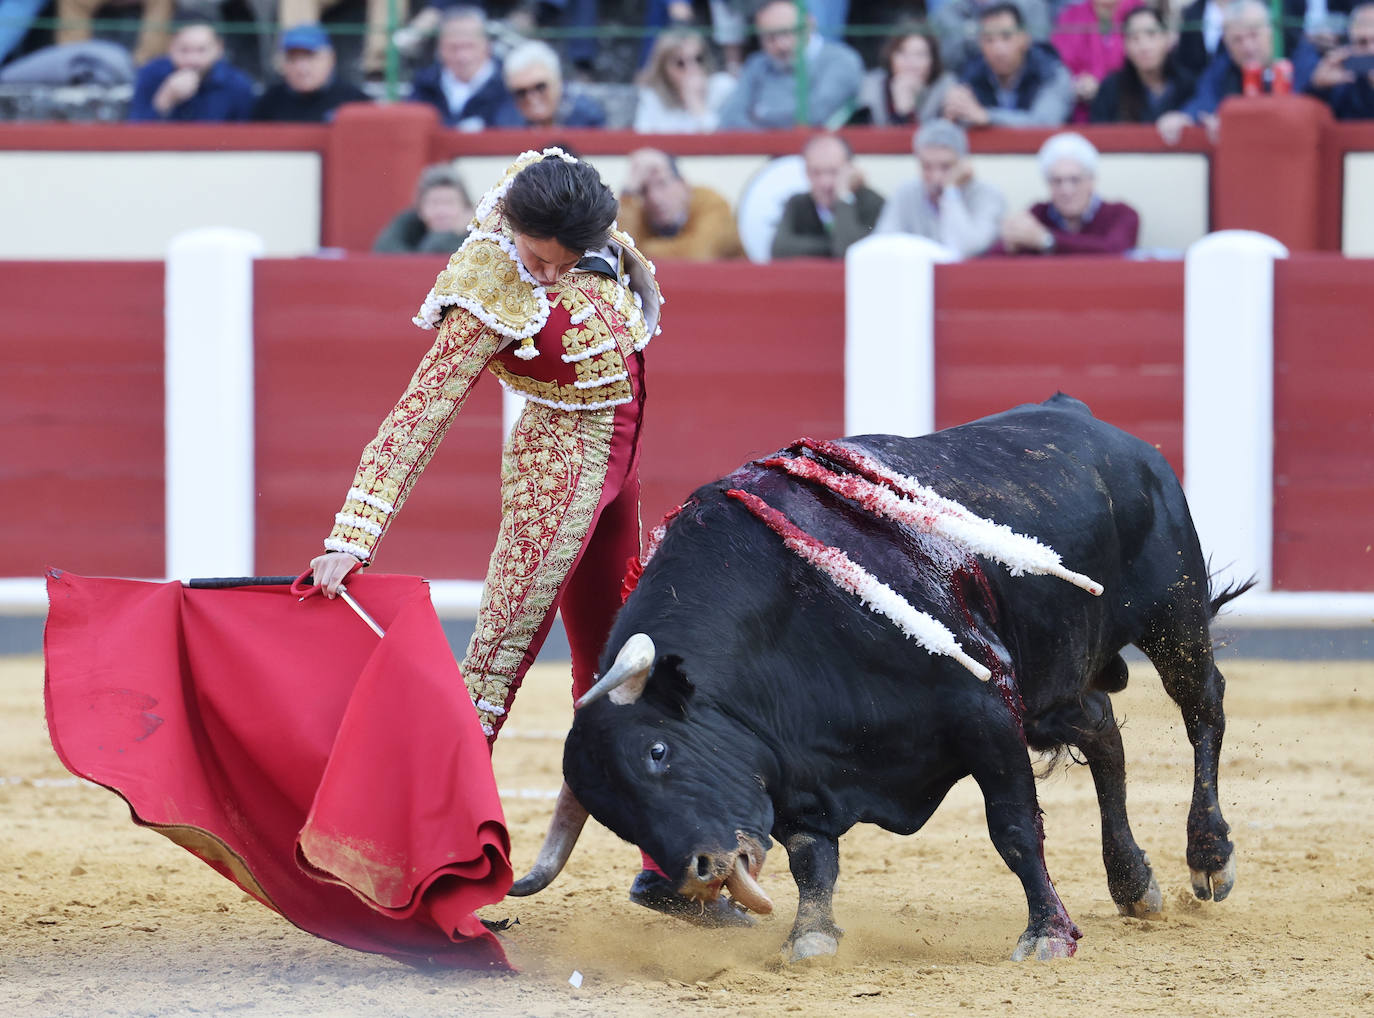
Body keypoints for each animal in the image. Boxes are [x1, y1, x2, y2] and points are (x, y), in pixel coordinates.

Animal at [511, 398, 1253, 961]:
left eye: (658, 752)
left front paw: (1046, 934)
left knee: (1203, 712)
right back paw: (1133, 884)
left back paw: (1209, 857)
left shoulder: (983, 712)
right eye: (615, 815)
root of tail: (1099, 425)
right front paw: (810, 938)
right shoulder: (795, 762)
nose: (699, 877)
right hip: (1052, 684)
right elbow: (811, 857)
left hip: (1173, 618)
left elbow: (1013, 828)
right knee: (1102, 731)